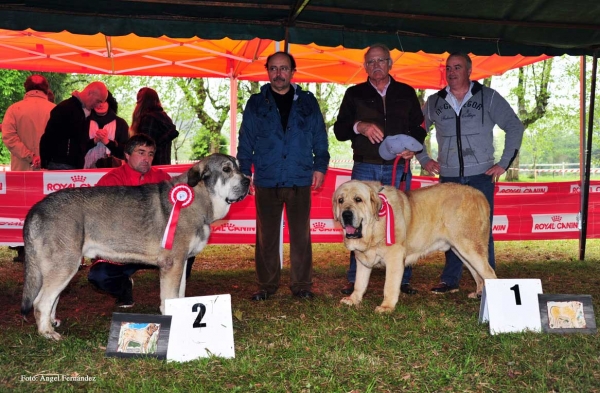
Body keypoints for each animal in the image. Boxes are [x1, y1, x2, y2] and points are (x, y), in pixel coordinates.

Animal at [21, 152, 248, 338]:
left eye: (239, 167)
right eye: (226, 169)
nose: (248, 180)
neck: (197, 197)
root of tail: (36, 209)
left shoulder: (181, 263)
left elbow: (180, 294)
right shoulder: (172, 264)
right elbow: (169, 297)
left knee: (52, 300)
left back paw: (51, 322)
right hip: (65, 265)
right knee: (41, 302)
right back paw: (47, 333)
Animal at [332, 181, 496, 312]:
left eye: (358, 199)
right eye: (340, 200)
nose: (346, 214)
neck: (375, 223)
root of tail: (480, 195)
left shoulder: (394, 257)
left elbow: (389, 285)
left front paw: (386, 307)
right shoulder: (363, 260)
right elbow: (359, 283)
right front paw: (353, 299)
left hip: (470, 248)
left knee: (489, 273)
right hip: (462, 251)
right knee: (478, 275)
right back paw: (479, 293)